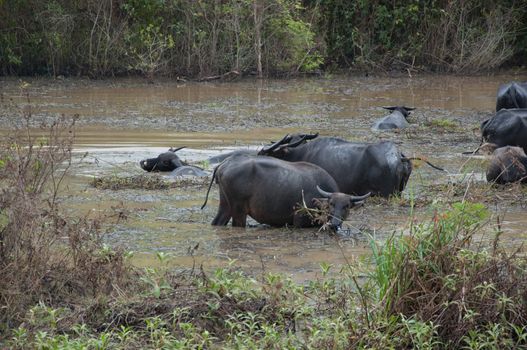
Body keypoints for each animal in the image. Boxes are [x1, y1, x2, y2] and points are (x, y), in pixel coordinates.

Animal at [202, 154, 372, 230]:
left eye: (347, 206)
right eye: (331, 204)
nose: (335, 224)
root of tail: (225, 163)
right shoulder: (298, 222)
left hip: (225, 204)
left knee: (218, 221)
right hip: (238, 210)